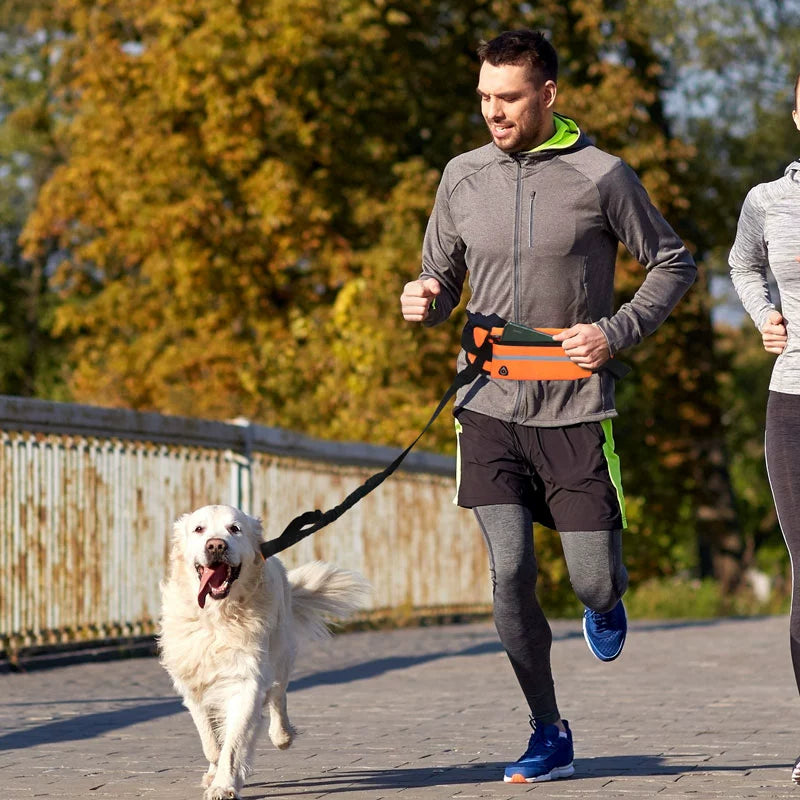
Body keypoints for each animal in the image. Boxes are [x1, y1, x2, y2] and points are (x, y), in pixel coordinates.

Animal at [159, 506, 372, 800]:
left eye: (234, 529)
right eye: (199, 529)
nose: (216, 545)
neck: (219, 615)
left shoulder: (246, 680)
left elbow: (234, 741)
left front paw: (224, 784)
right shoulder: (193, 681)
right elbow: (210, 741)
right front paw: (216, 773)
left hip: (280, 657)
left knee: (278, 697)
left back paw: (282, 736)